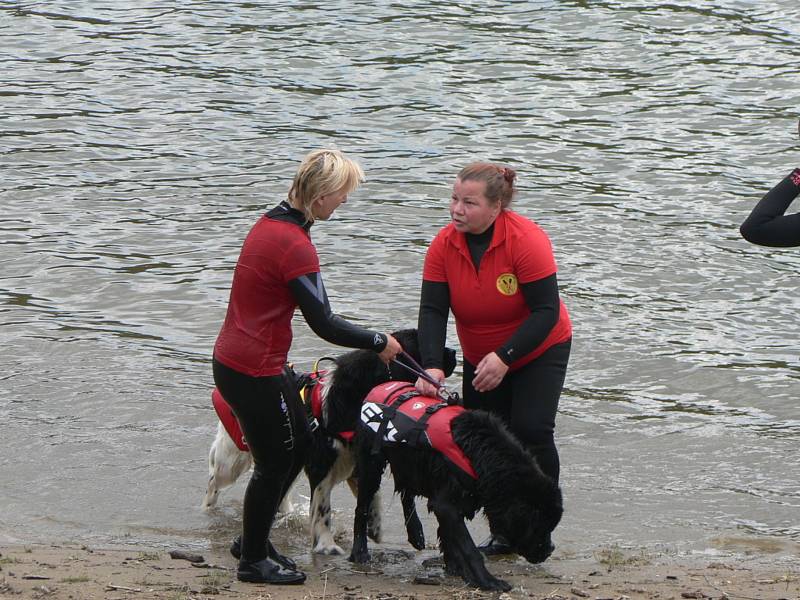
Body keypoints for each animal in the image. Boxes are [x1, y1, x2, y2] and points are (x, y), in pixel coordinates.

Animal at [203, 330, 456, 556]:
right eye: (420, 348)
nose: (454, 351)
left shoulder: (359, 458)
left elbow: (370, 495)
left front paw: (374, 527)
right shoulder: (322, 464)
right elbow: (323, 508)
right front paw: (327, 545)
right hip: (234, 456)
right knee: (215, 478)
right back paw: (208, 508)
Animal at [348, 382, 564, 592]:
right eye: (541, 524)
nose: (551, 549)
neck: (480, 454)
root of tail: (380, 386)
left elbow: (449, 538)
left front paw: (455, 568)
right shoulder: (446, 504)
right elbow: (468, 547)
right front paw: (487, 581)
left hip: (408, 463)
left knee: (406, 492)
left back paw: (416, 533)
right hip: (372, 464)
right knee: (362, 508)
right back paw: (359, 553)